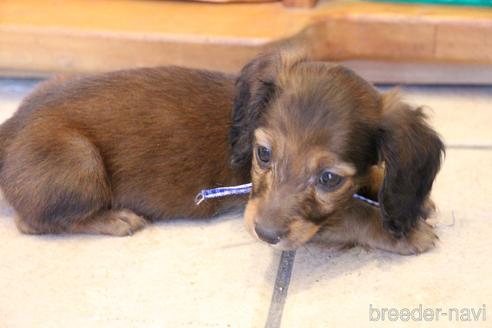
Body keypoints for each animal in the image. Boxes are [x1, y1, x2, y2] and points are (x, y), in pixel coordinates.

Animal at [0, 52, 446, 256]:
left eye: (329, 178)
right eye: (263, 154)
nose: (265, 235)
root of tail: (10, 128)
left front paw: (407, 201)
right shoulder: (270, 213)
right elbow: (350, 214)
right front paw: (405, 231)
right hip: (80, 161)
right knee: (32, 222)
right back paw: (114, 219)